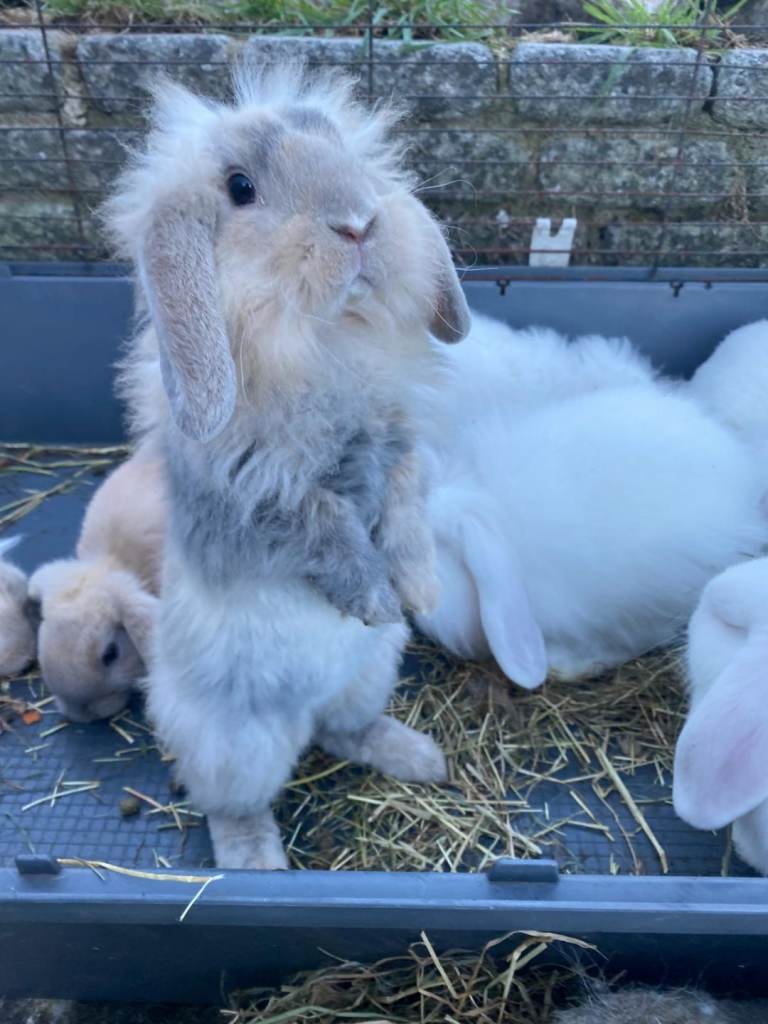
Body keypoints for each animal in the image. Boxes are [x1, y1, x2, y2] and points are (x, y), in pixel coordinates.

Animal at [105, 65, 470, 869]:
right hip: (236, 745)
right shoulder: (257, 501)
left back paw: (420, 757)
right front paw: (376, 600)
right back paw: (254, 860)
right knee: (231, 802)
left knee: (342, 729)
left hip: (368, 677)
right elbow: (324, 527)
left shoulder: (401, 447)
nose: (359, 224)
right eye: (240, 187)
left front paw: (419, 592)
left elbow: (405, 502)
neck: (320, 341)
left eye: (347, 156)